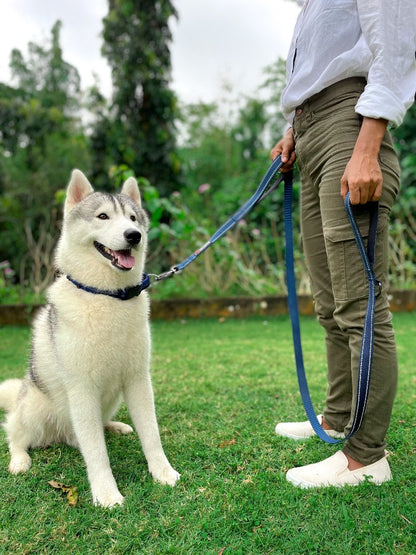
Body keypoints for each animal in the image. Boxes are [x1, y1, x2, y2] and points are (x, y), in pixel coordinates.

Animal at [0, 169, 178, 508]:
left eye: (133, 218)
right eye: (103, 216)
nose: (133, 235)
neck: (108, 296)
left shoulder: (138, 379)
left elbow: (151, 434)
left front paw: (163, 472)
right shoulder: (82, 389)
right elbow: (96, 452)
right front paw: (106, 493)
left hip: (111, 398)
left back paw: (115, 426)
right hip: (35, 410)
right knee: (14, 432)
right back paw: (19, 459)